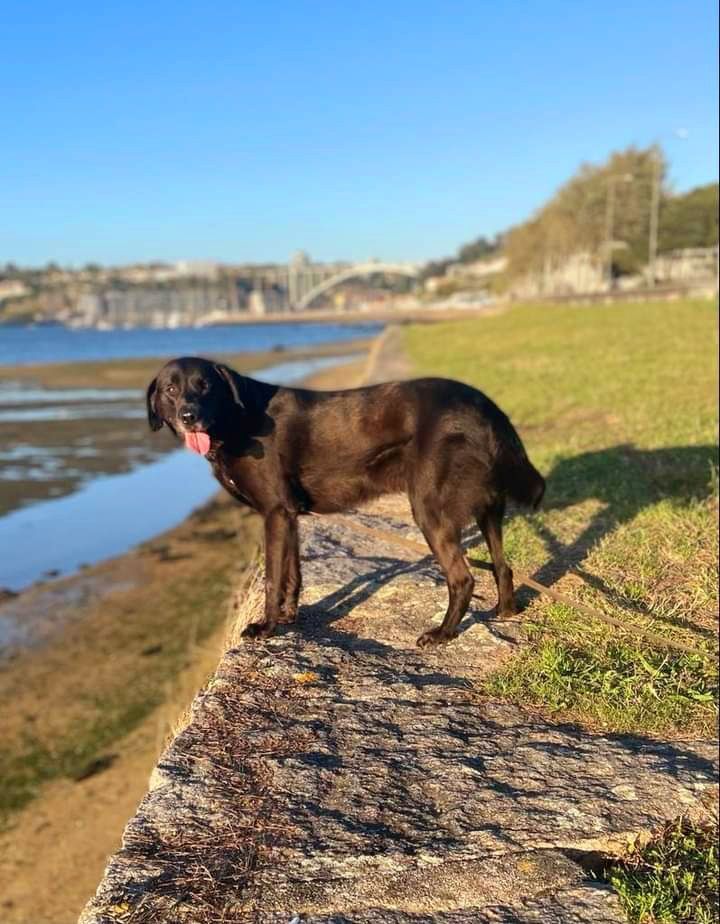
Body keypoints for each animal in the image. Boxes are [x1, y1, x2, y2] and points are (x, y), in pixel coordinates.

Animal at [146, 358, 544, 648]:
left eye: (206, 386)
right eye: (171, 389)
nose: (189, 416)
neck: (237, 419)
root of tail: (486, 405)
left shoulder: (275, 513)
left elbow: (273, 578)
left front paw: (267, 628)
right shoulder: (288, 515)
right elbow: (292, 573)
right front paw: (289, 617)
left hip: (431, 510)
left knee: (462, 578)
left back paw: (443, 634)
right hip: (488, 507)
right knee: (502, 565)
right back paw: (506, 611)